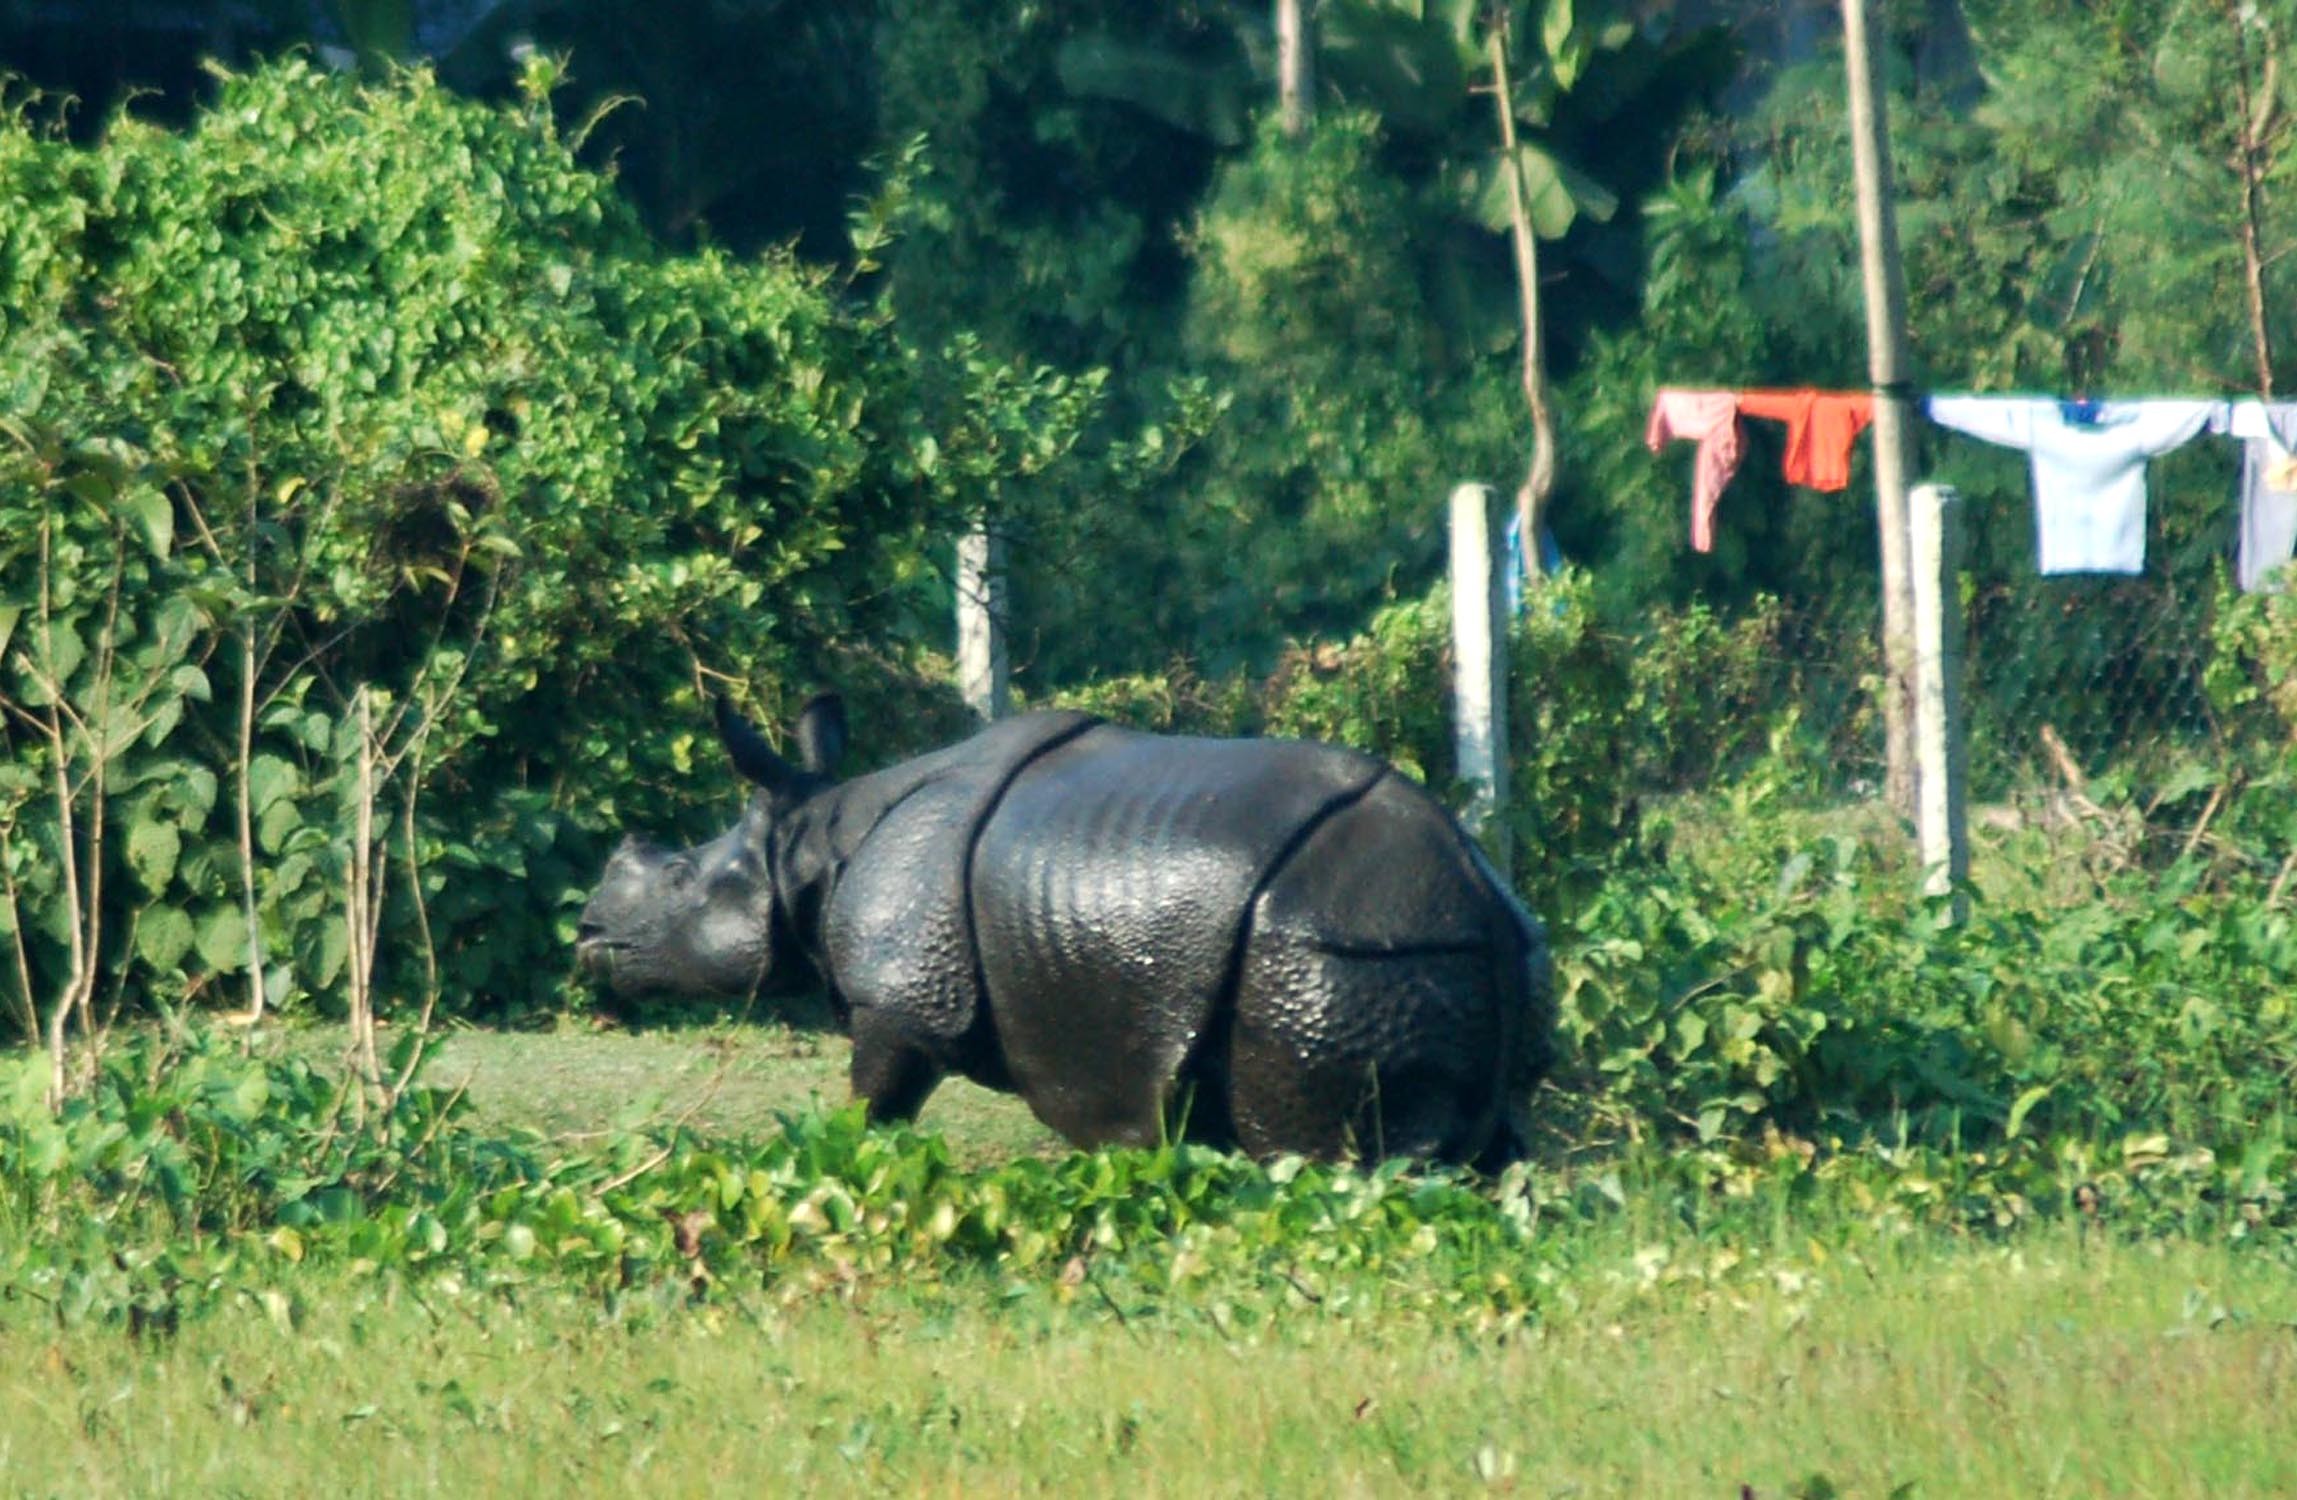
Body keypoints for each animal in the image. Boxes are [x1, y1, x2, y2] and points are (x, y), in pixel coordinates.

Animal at [576, 695, 1553, 1167]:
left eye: (677, 878)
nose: (587, 928)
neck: (812, 842)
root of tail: (1467, 885)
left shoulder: (904, 996)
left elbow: (873, 1108)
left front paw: (843, 1163)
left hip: (1333, 953)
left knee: (1327, 1163)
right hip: (1453, 946)